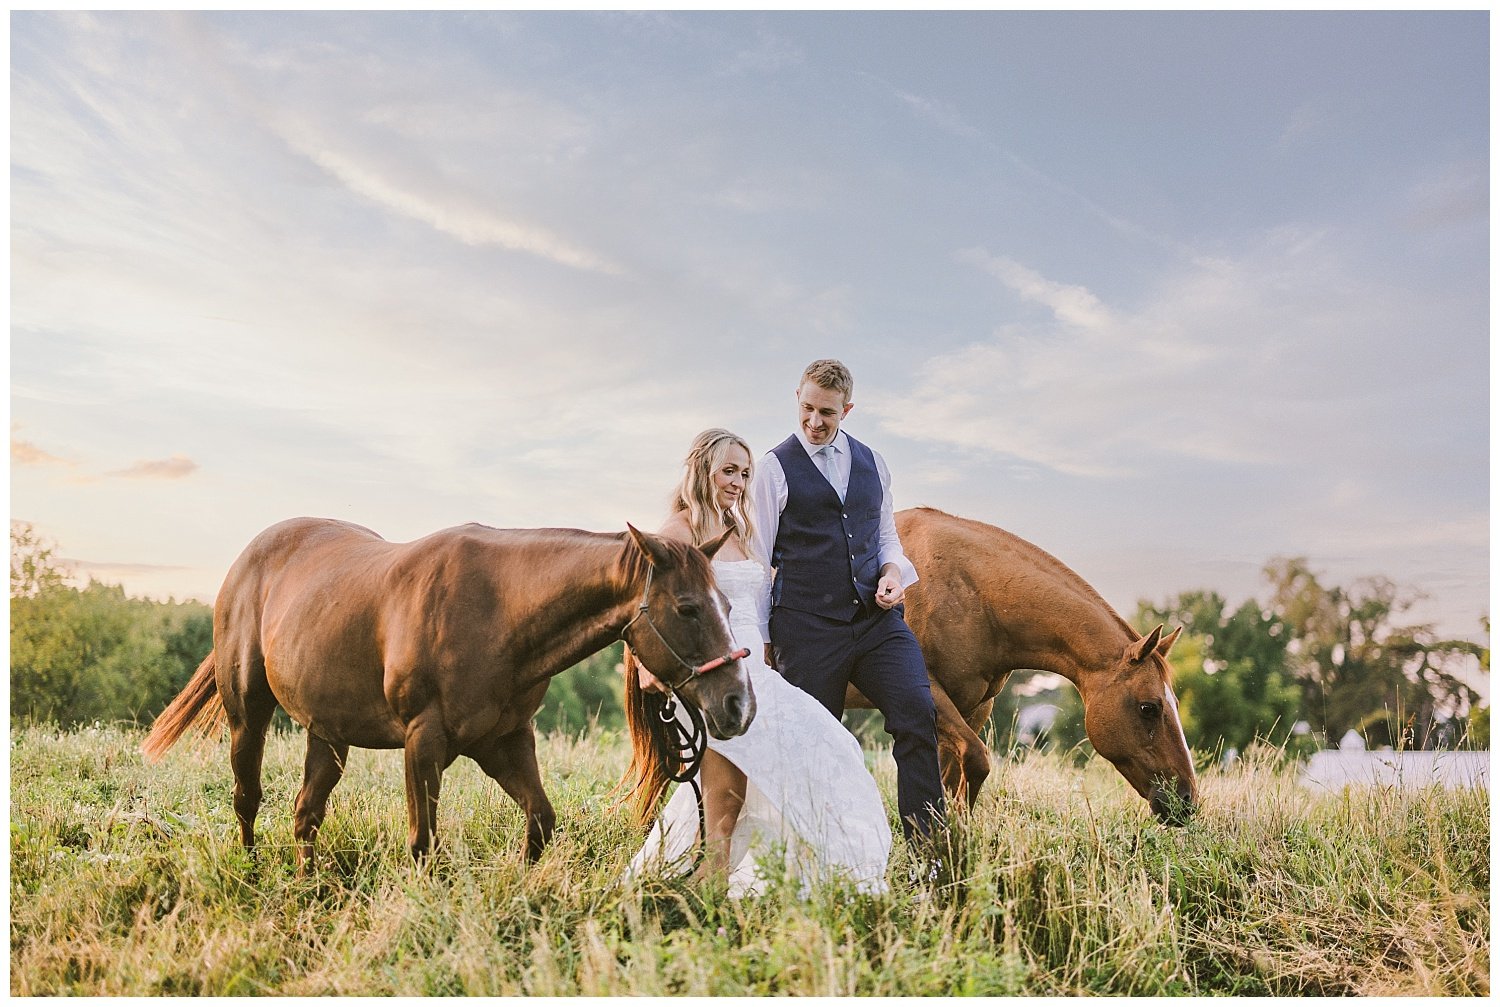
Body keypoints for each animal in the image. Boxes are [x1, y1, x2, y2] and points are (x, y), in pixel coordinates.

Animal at [144, 519, 756, 864]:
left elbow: (541, 820)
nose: (739, 706)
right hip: (247, 715)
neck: (498, 609)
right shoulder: (424, 742)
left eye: (727, 604)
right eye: (688, 608)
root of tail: (250, 558)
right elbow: (422, 842)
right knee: (247, 799)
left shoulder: (505, 741)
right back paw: (251, 876)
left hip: (328, 735)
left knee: (304, 814)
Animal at [852, 507, 1200, 822]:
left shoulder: (974, 706)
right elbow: (976, 760)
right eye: (1148, 707)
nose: (1186, 800)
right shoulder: (924, 693)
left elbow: (950, 777)